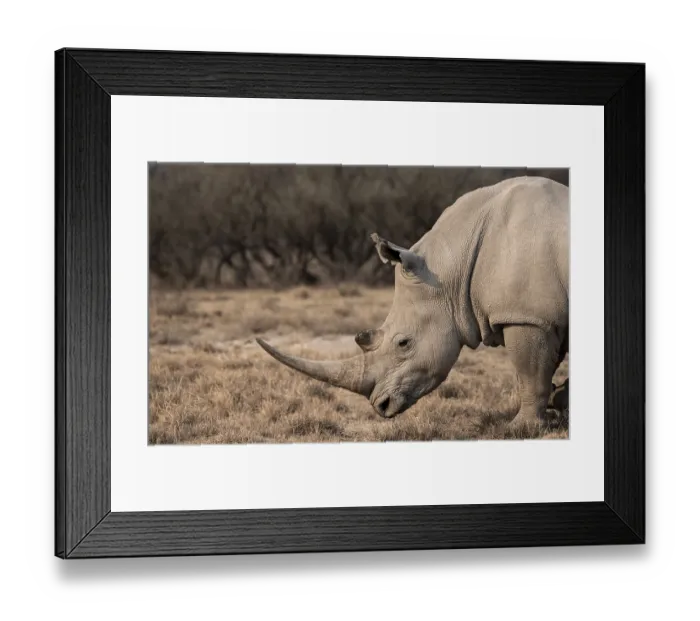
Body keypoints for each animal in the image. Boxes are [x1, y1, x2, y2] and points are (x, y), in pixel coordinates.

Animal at [256, 175, 569, 428]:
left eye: (403, 343)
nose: (381, 406)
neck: (450, 267)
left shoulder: (528, 316)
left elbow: (530, 373)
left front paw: (522, 427)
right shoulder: (546, 315)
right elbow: (546, 368)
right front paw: (560, 402)